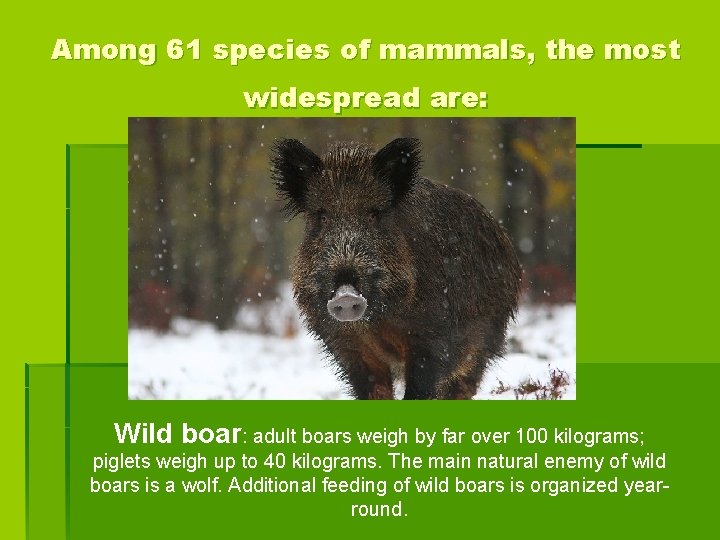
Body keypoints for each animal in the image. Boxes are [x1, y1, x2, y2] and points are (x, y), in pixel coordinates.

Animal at [272, 137, 521, 399]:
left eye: (373, 215)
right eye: (323, 217)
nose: (346, 295)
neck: (376, 319)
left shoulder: (430, 336)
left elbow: (419, 388)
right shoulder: (347, 345)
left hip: (486, 336)